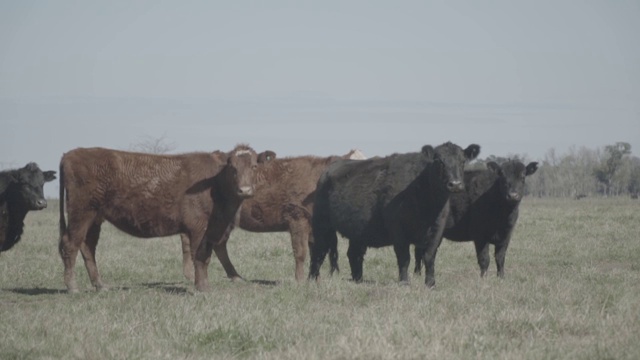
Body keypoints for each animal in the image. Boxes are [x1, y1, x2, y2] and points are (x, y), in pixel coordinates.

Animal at [57, 144, 262, 292]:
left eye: (254, 166)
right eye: (233, 168)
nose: (245, 190)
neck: (214, 183)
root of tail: (71, 154)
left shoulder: (212, 230)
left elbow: (206, 256)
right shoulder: (198, 228)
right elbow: (200, 256)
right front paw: (202, 287)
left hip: (94, 219)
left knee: (87, 248)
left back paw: (100, 285)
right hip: (81, 213)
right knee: (70, 245)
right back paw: (72, 287)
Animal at [180, 148, 368, 282]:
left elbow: (316, 251)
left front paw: (315, 279)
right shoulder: (298, 218)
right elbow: (300, 252)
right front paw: (300, 280)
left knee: (218, 245)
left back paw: (235, 276)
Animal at [308, 142, 478, 288]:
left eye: (463, 161)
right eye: (438, 161)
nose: (455, 184)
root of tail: (330, 168)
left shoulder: (437, 230)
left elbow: (429, 257)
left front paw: (431, 284)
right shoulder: (398, 230)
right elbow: (404, 258)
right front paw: (404, 283)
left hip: (357, 231)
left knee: (353, 254)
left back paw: (358, 280)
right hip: (321, 223)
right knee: (318, 250)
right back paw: (312, 279)